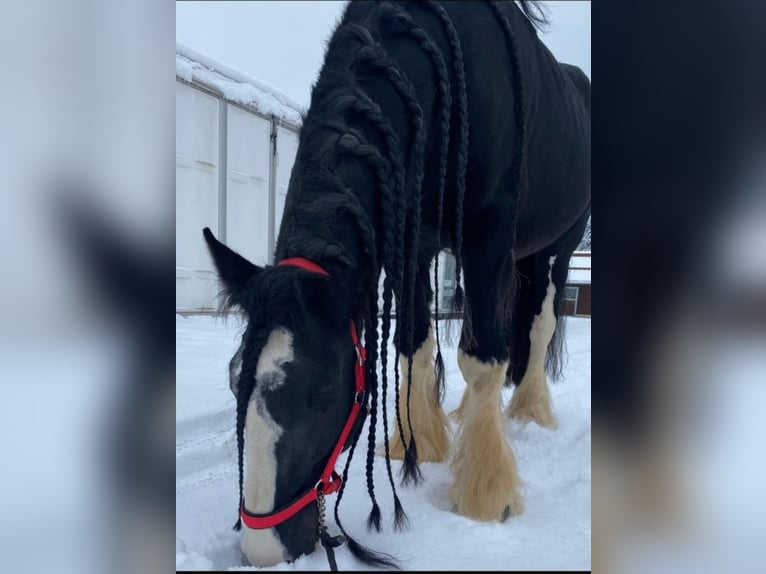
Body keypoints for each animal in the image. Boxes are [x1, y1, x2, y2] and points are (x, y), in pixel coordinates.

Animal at [202, 0, 590, 568]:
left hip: (555, 248)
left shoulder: (488, 235)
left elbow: (482, 359)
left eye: (323, 393)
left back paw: (529, 411)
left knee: (538, 327)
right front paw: (420, 446)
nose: (263, 548)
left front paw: (485, 493)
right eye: (235, 380)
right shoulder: (414, 242)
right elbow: (413, 344)